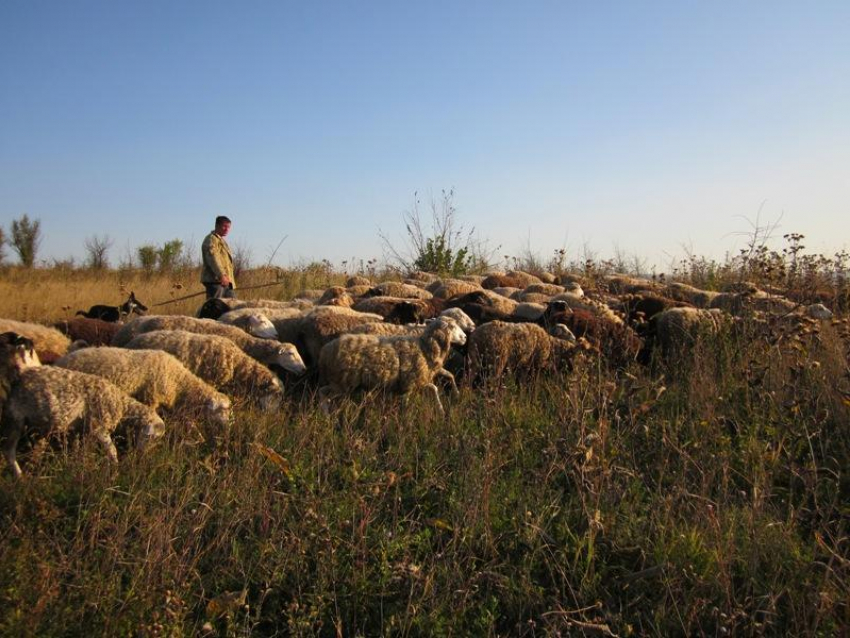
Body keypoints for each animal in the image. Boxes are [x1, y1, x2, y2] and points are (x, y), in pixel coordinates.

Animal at [0, 368, 164, 478]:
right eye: (150, 436)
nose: (142, 456)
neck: (121, 405)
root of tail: (17, 380)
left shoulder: (80, 430)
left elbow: (79, 452)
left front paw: (78, 468)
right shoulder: (98, 426)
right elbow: (112, 451)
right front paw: (115, 471)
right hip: (15, 418)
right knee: (8, 450)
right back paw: (19, 476)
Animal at [316, 316, 468, 416]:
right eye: (451, 327)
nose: (465, 337)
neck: (424, 346)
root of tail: (325, 351)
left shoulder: (420, 379)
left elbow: (442, 381)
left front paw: (447, 402)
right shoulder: (411, 381)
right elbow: (426, 392)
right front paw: (405, 419)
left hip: (342, 383)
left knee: (324, 393)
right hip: (343, 383)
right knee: (323, 393)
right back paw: (326, 415)